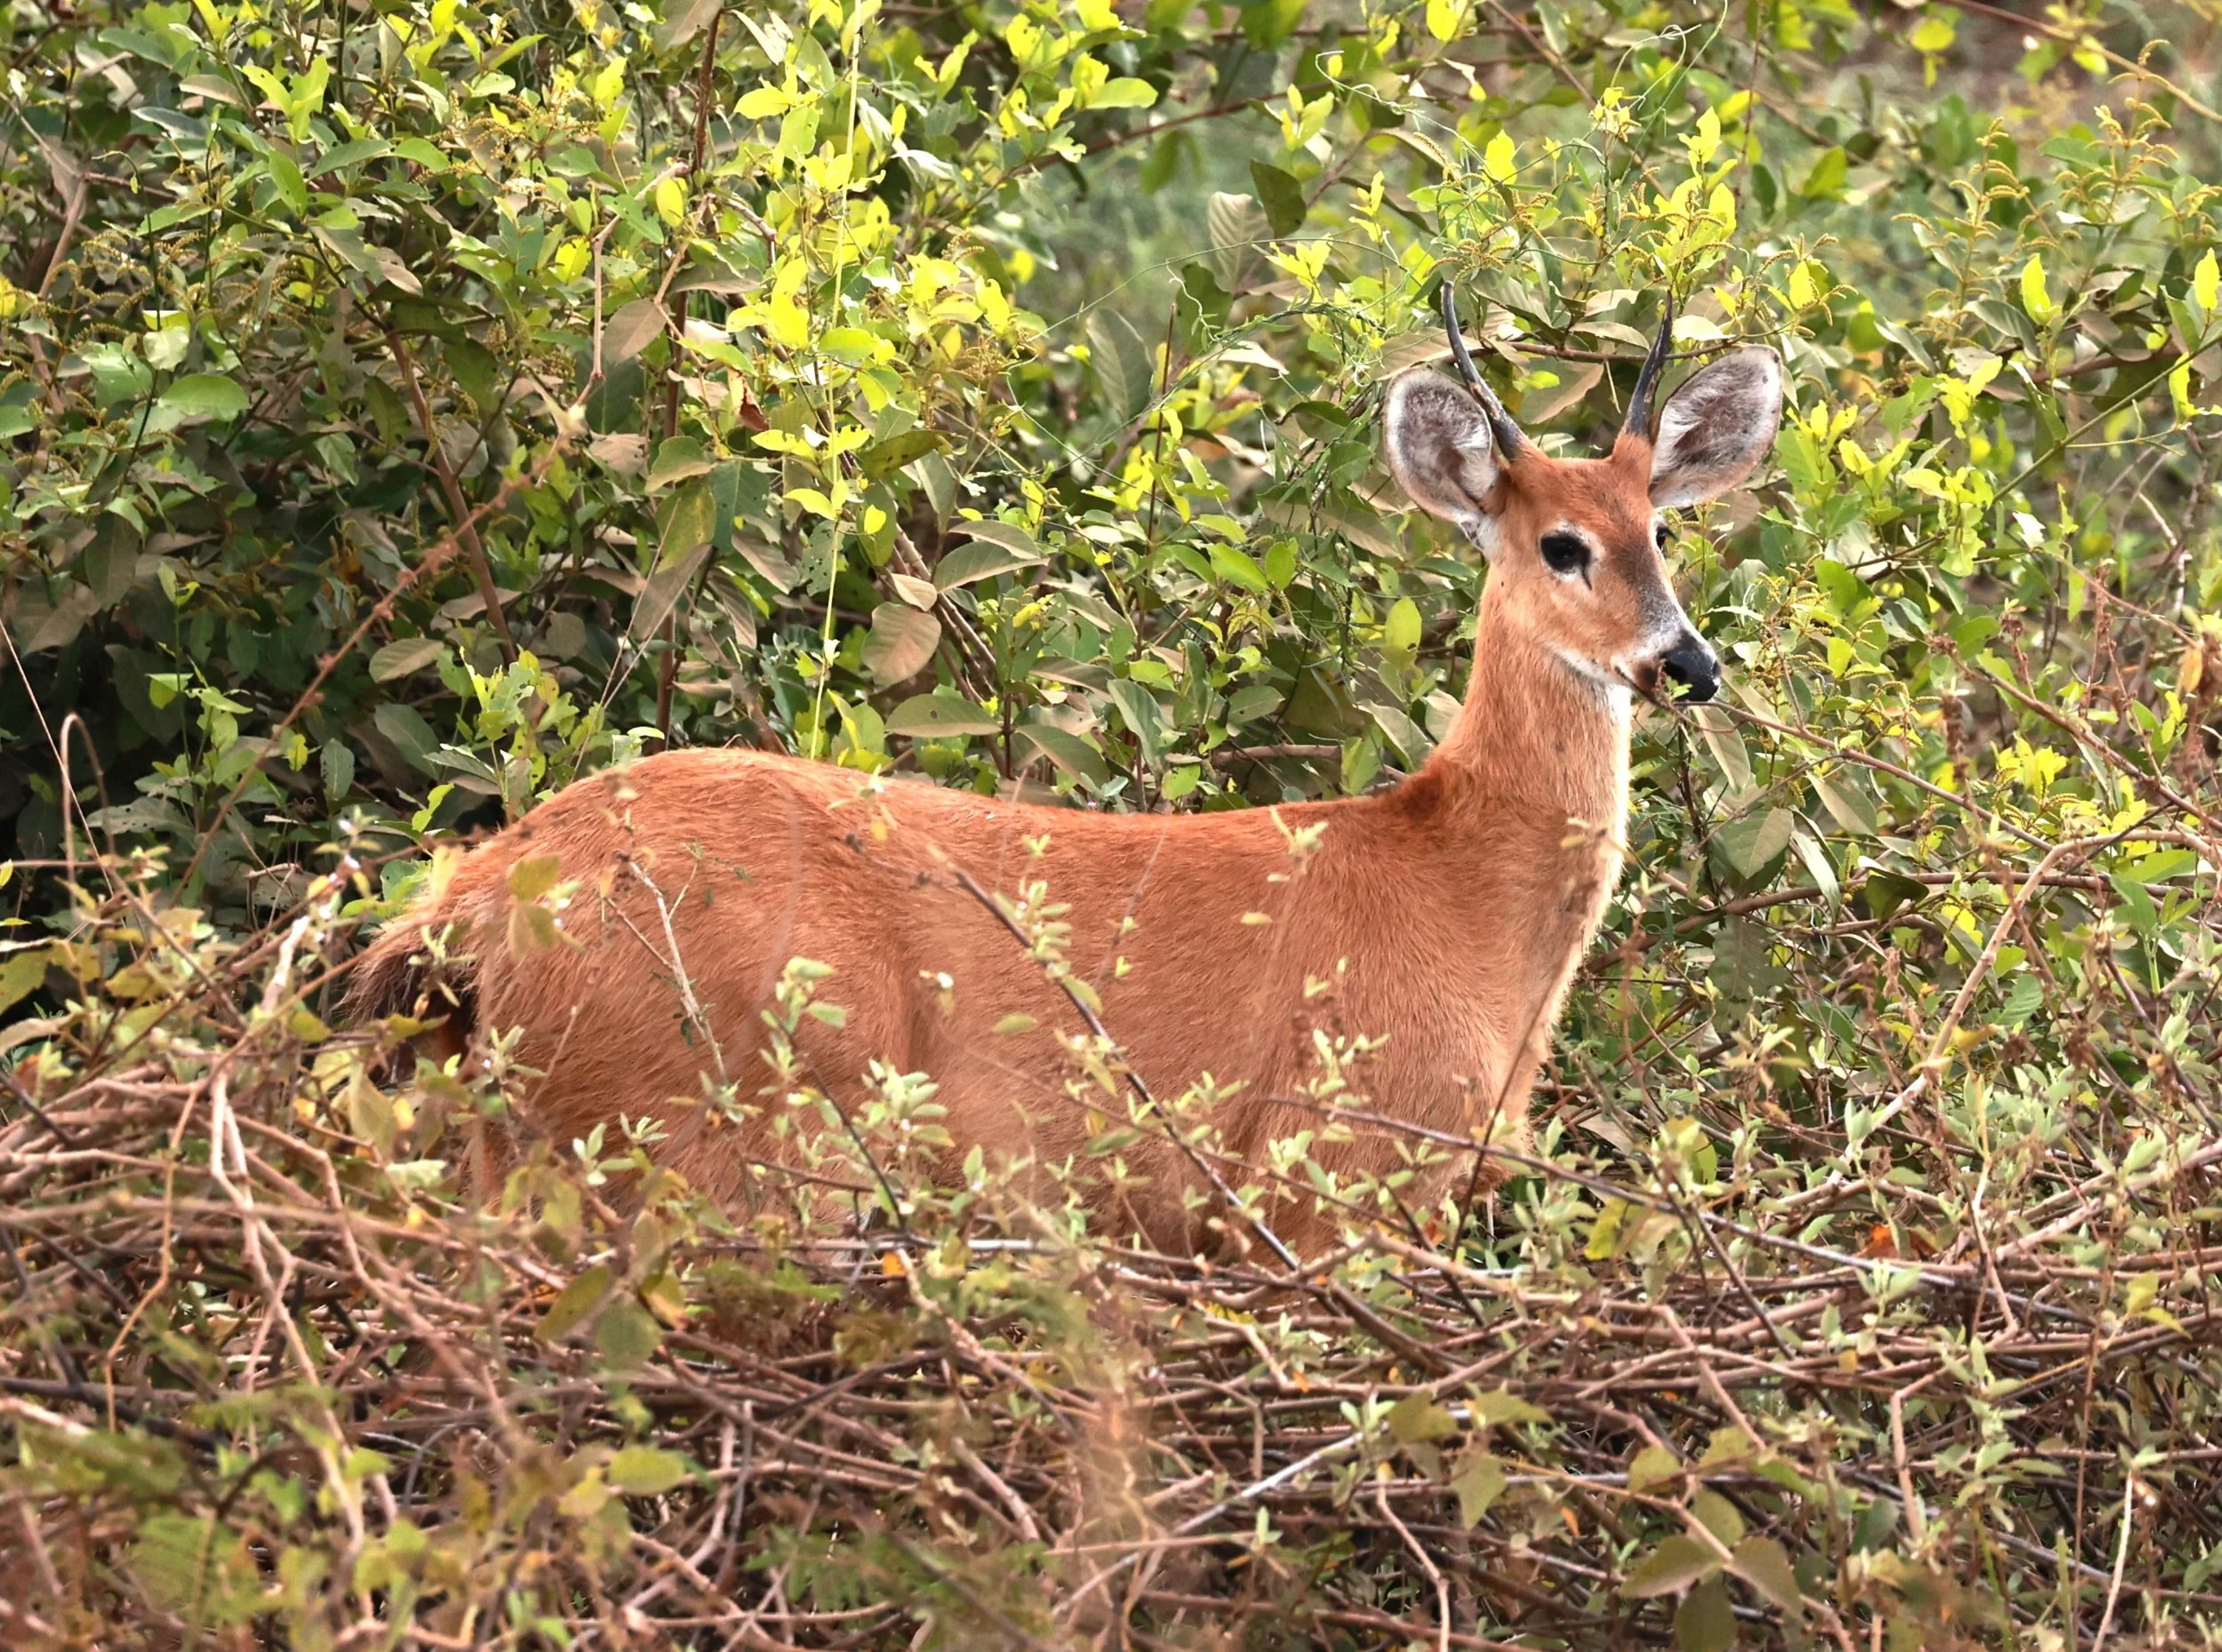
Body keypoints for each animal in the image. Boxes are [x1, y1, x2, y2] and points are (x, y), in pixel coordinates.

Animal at [349, 285, 1783, 1260]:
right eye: (1559, 543)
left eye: (1661, 529)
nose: (1687, 661)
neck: (1464, 893)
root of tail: (474, 902)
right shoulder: (1327, 1167)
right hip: (715, 1130)